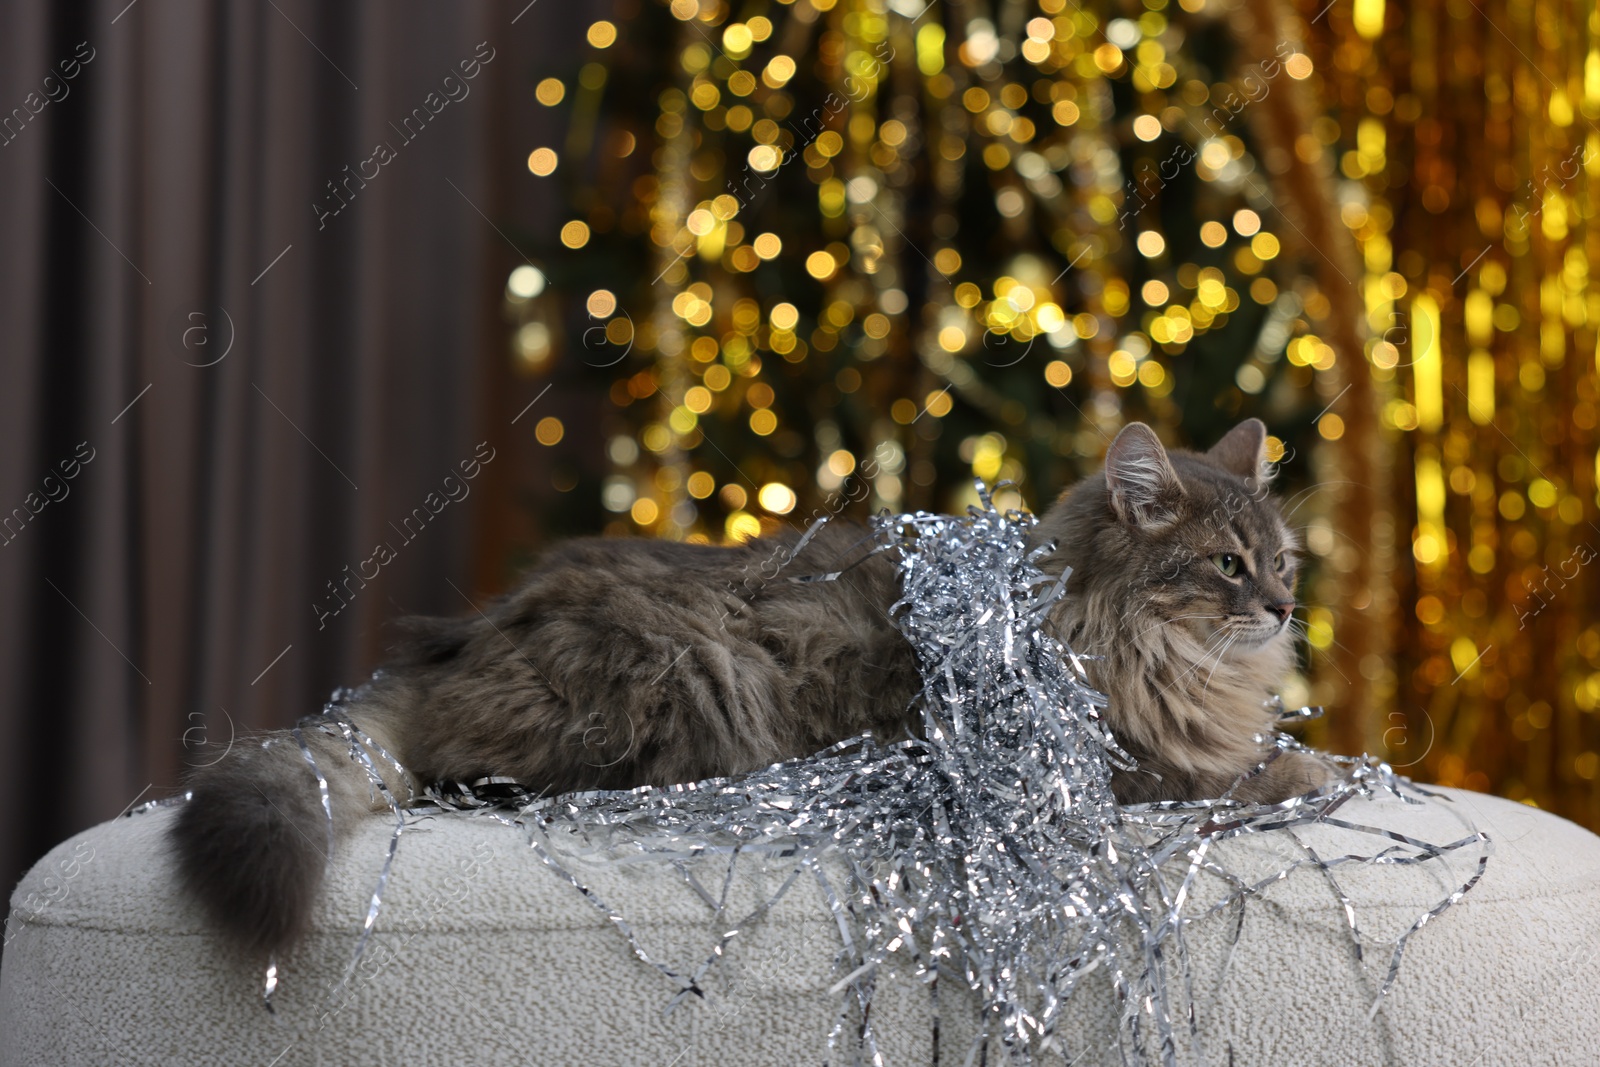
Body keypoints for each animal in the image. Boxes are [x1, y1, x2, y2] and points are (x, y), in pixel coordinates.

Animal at [168, 412, 1331, 953]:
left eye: (1283, 561)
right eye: (1227, 565)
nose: (1282, 608)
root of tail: (463, 636)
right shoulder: (1120, 774)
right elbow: (1252, 772)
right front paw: (1319, 772)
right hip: (686, 673)